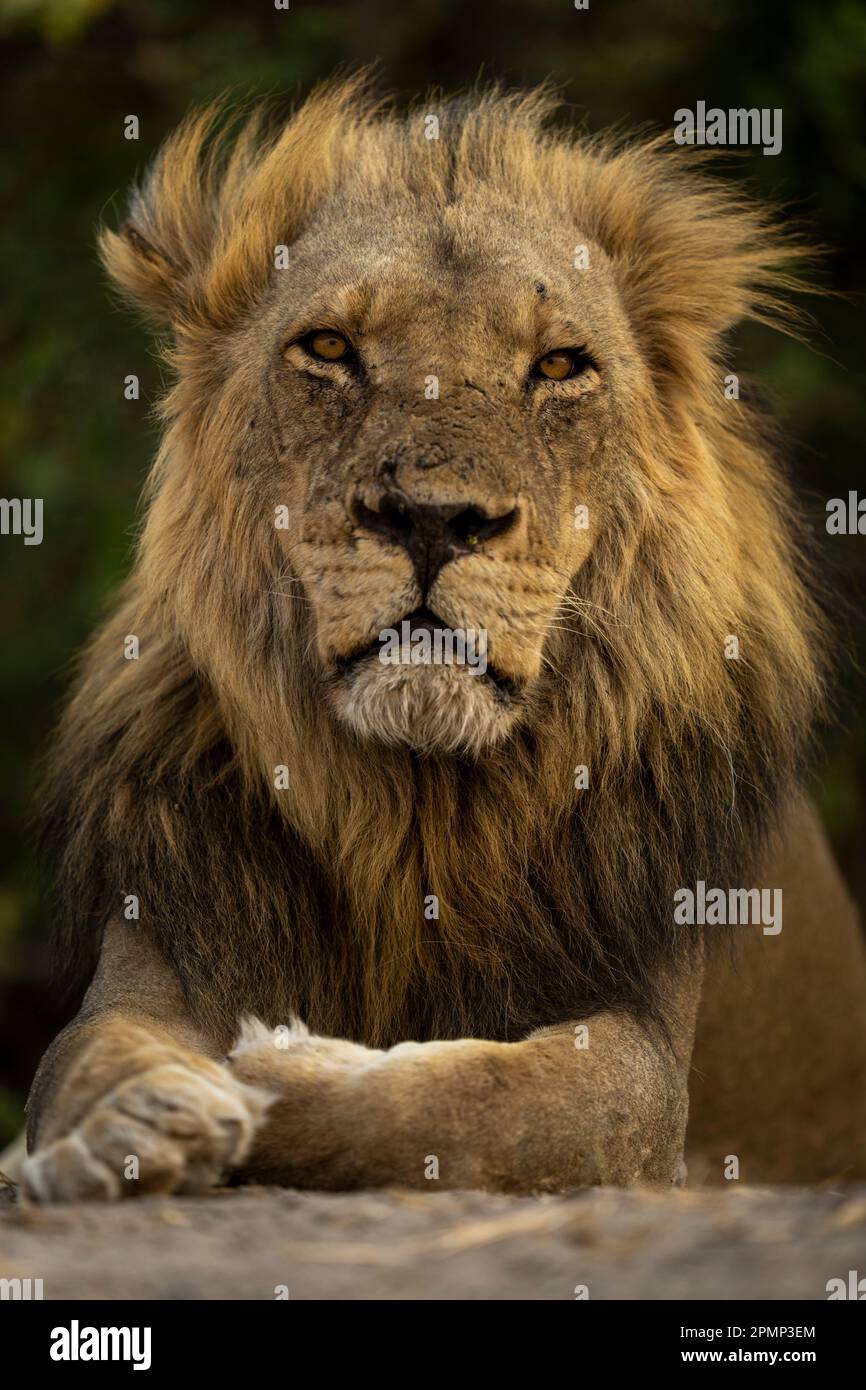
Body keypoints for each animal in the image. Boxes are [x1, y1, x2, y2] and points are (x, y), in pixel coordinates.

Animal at [18, 80, 866, 1201]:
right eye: (329, 348)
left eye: (559, 365)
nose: (431, 520)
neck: (417, 811)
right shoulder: (161, 941)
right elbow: (86, 1052)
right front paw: (135, 1116)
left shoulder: (649, 1057)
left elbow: (496, 1106)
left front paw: (278, 1065)